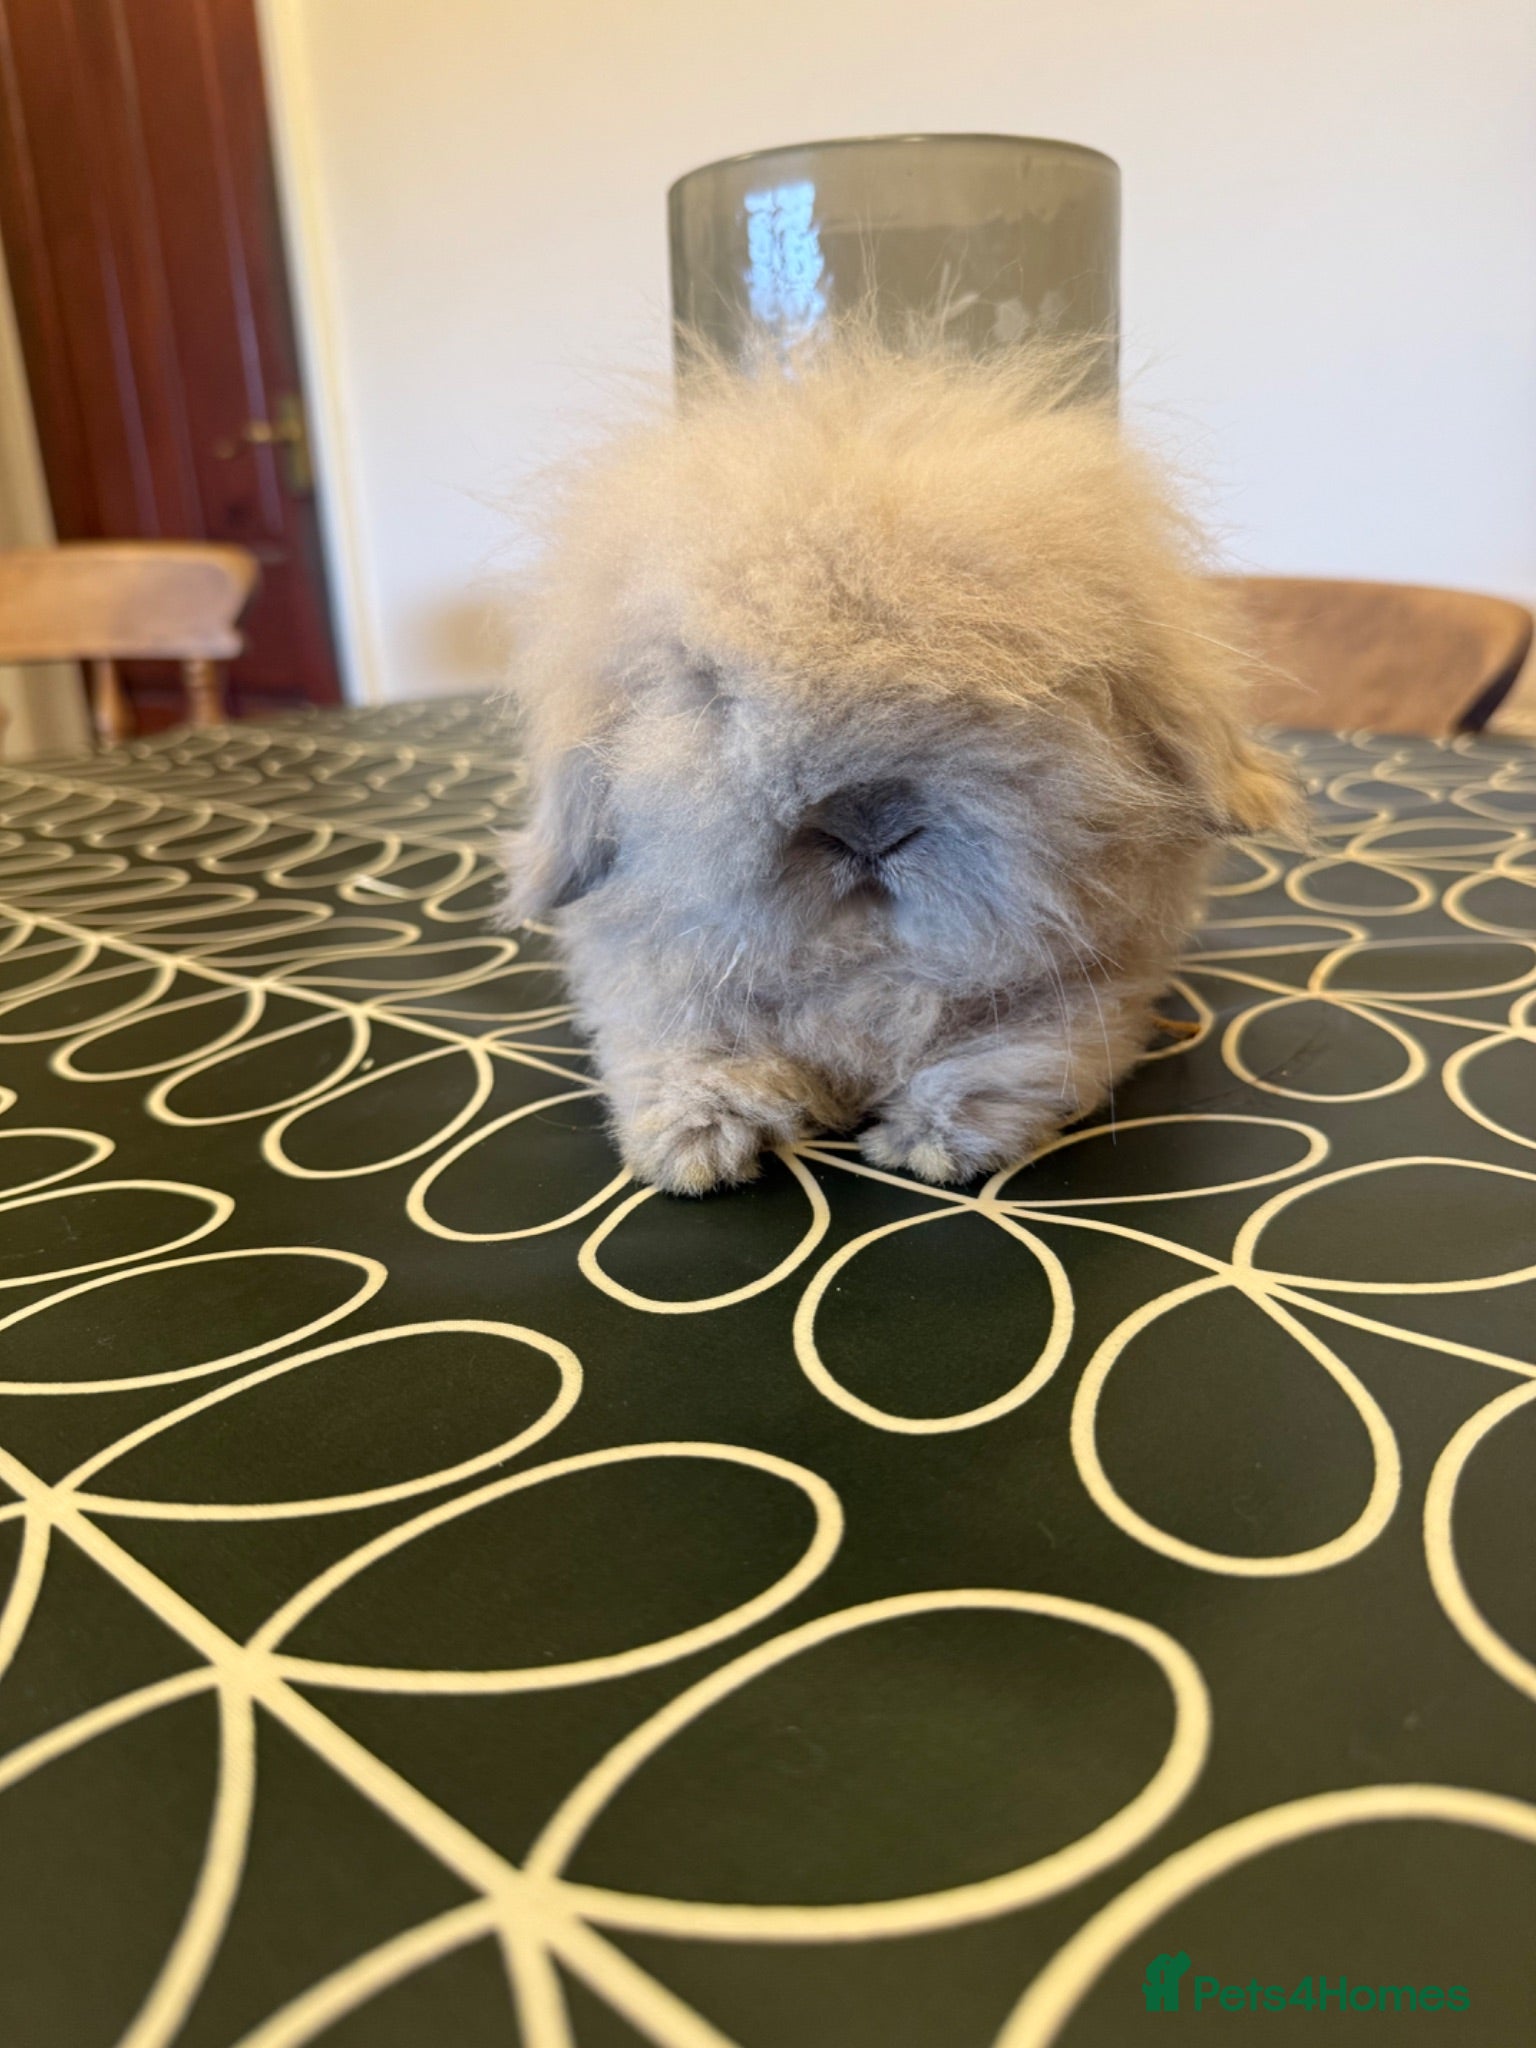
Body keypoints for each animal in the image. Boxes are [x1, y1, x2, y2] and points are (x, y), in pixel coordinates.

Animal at [498, 329, 1297, 1195]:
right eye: (707, 687)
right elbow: (684, 1052)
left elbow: (1014, 1057)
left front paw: (929, 1142)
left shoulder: (1093, 999)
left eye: (1024, 685)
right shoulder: (646, 991)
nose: (865, 822)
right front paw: (696, 1150)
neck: (864, 974)